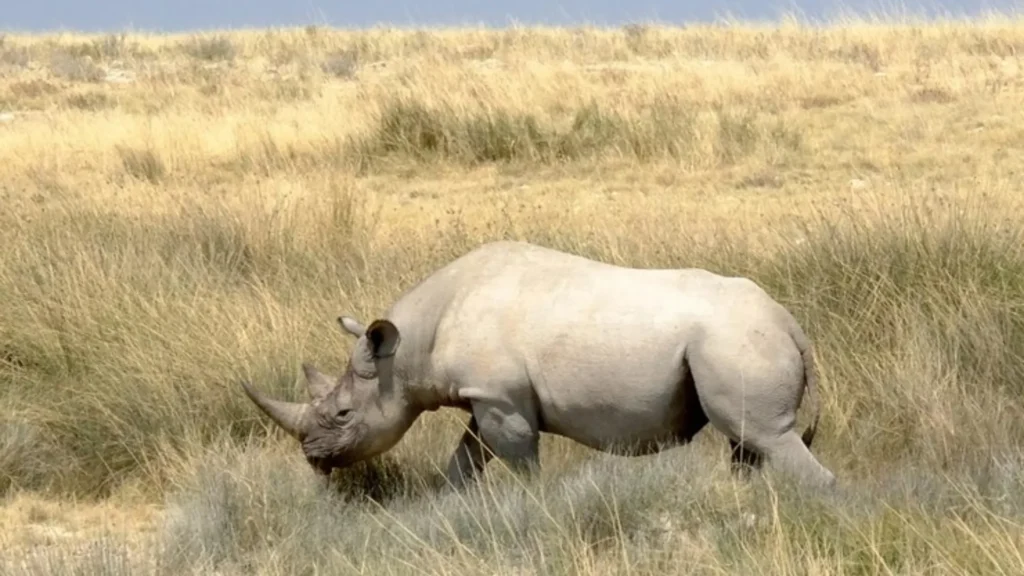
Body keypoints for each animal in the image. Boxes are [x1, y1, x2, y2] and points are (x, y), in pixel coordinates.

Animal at [241, 237, 839, 487]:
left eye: (342, 415)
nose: (313, 458)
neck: (405, 353)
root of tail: (791, 323)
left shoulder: (500, 398)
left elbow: (520, 462)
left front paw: (532, 504)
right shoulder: (485, 396)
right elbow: (465, 459)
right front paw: (447, 501)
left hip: (735, 340)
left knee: (764, 435)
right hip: (733, 341)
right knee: (747, 443)